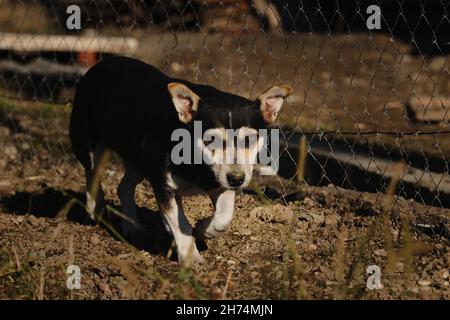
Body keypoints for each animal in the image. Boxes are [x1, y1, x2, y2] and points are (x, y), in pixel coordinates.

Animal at [69, 56, 294, 266]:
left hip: (139, 159)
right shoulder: (164, 187)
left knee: (123, 187)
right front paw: (190, 256)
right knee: (92, 175)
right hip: (88, 144)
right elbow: (181, 224)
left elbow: (224, 217)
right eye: (211, 140)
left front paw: (204, 229)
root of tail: (103, 62)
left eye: (249, 140)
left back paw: (131, 226)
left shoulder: (220, 184)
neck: (197, 165)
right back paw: (95, 209)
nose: (236, 179)